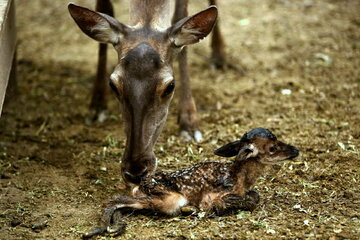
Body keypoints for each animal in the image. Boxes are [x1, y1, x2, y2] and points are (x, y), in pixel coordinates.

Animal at [68, 0, 222, 184]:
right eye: (113, 84)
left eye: (170, 86)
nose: (135, 171)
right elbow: (104, 8)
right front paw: (97, 106)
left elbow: (180, 15)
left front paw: (189, 124)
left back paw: (220, 57)